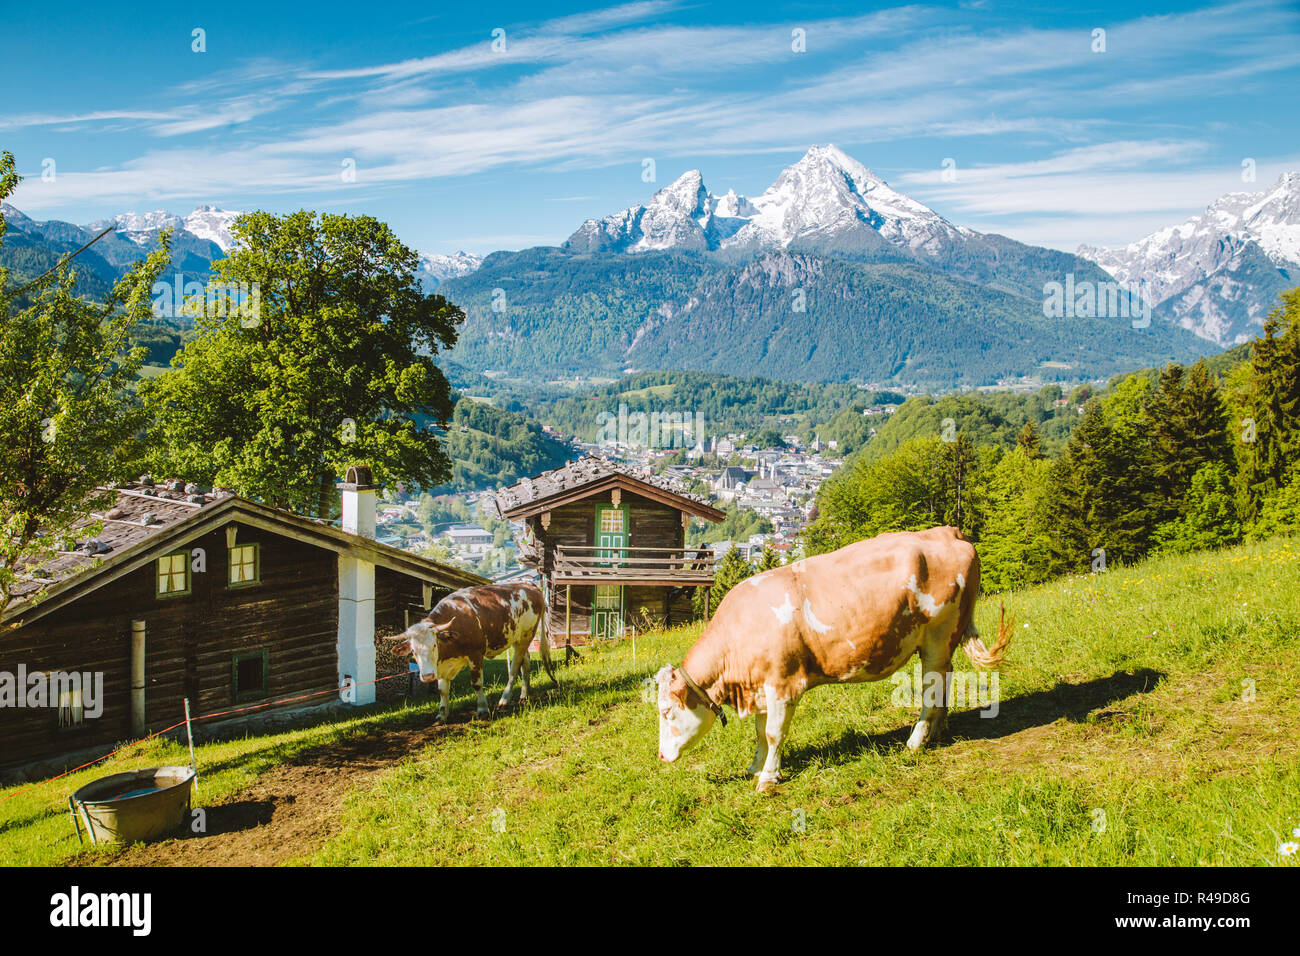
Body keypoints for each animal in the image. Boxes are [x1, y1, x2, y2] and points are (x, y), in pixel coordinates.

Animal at [386, 583, 557, 721]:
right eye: (413, 651)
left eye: (434, 645)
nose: (427, 676)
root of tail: (529, 585)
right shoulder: (442, 665)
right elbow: (443, 690)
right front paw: (442, 714)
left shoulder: (475, 655)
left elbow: (476, 683)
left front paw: (482, 709)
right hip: (519, 639)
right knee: (525, 664)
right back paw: (524, 695)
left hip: (526, 635)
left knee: (514, 669)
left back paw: (505, 699)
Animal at [654, 526, 1011, 791]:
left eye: (667, 711)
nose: (660, 756)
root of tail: (949, 531)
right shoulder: (762, 685)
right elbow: (760, 732)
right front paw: (756, 767)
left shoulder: (784, 684)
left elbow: (773, 733)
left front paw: (767, 779)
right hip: (943, 641)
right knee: (944, 680)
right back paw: (938, 730)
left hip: (939, 634)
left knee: (930, 688)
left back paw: (916, 740)